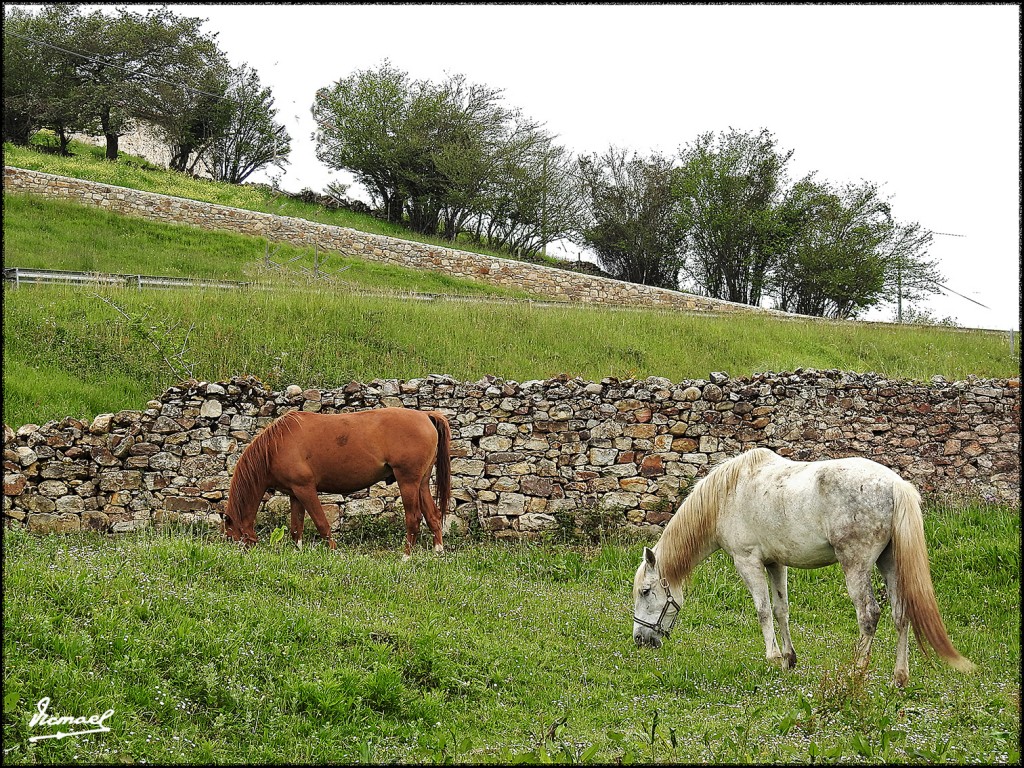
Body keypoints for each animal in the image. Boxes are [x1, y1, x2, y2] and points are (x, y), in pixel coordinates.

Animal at [224, 409, 452, 561]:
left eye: (232, 537)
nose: (240, 555)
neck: (275, 446)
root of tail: (426, 415)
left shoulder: (306, 489)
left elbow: (322, 524)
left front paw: (333, 552)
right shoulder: (295, 493)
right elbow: (296, 529)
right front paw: (298, 552)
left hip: (408, 482)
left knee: (413, 519)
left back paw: (405, 557)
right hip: (421, 483)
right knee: (433, 515)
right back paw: (438, 551)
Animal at [630, 448, 974, 688]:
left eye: (646, 592)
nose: (640, 640)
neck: (728, 495)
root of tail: (894, 485)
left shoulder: (748, 562)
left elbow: (763, 611)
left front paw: (771, 658)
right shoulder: (775, 563)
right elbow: (781, 610)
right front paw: (788, 660)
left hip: (856, 566)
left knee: (869, 615)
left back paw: (856, 673)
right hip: (889, 564)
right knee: (900, 614)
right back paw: (899, 677)